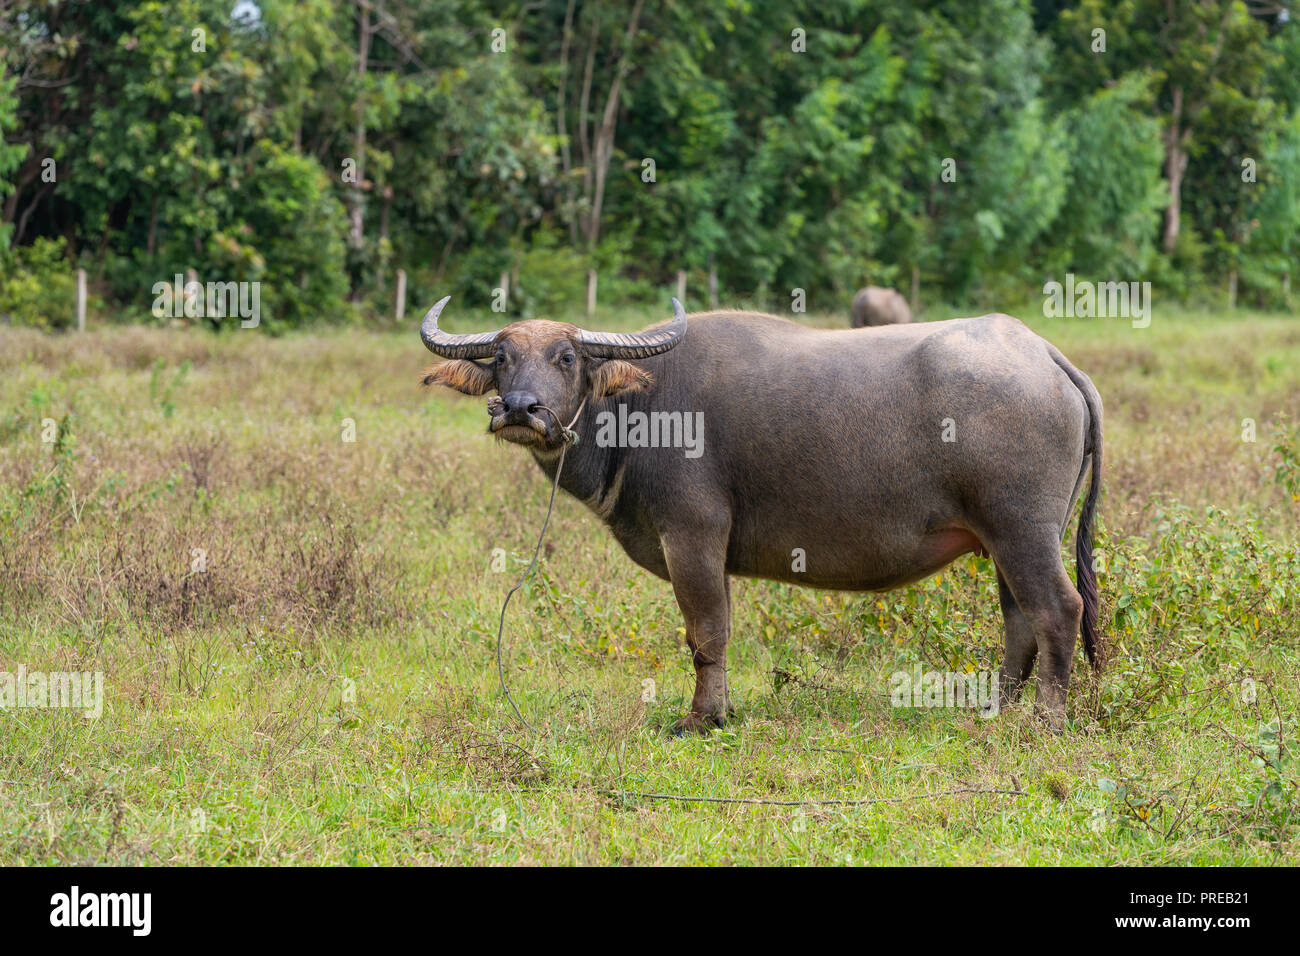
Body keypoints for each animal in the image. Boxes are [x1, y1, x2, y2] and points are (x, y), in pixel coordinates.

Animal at [421, 297, 1102, 733]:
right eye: (501, 358)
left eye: (567, 358)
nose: (519, 408)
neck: (641, 408)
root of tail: (1045, 354)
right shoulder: (712, 551)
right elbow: (715, 631)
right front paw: (720, 711)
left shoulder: (691, 533)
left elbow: (705, 632)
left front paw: (699, 720)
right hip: (1008, 537)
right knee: (1019, 620)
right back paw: (997, 709)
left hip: (1022, 530)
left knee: (1057, 609)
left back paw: (1045, 721)